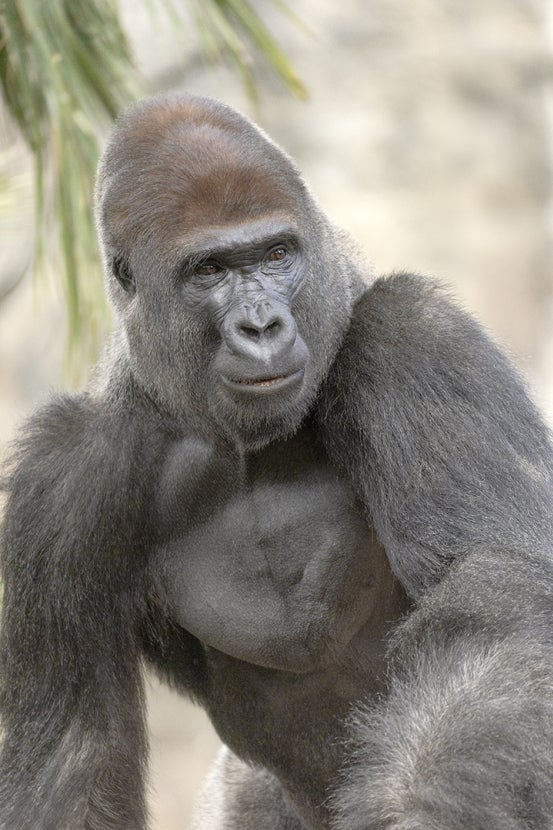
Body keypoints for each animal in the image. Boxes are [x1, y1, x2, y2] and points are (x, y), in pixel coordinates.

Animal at [1, 93, 553, 830]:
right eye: (208, 270)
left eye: (276, 254)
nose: (261, 326)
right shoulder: (59, 485)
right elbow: (74, 761)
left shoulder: (414, 336)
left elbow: (496, 597)